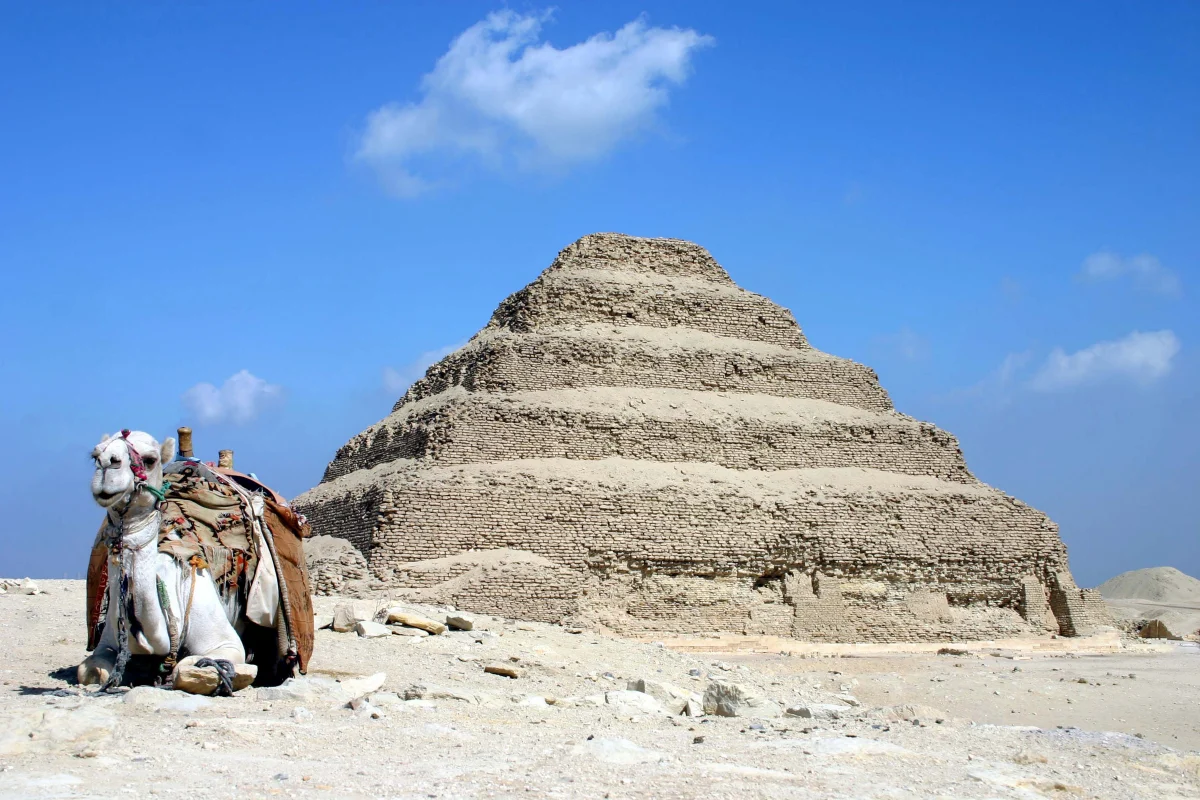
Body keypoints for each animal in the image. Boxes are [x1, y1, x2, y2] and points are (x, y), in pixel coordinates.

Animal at [78, 430, 247, 692]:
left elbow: (186, 667)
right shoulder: (107, 642)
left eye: (150, 459)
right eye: (95, 455)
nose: (107, 464)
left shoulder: (225, 643)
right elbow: (90, 671)